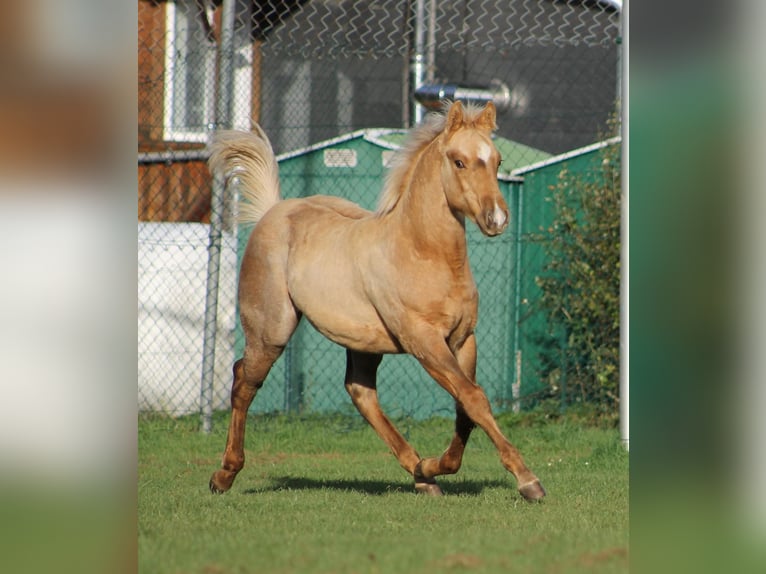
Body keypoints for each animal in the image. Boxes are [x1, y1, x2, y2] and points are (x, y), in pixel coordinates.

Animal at [207, 101, 545, 501]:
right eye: (459, 161)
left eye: (497, 159)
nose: (497, 218)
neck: (422, 253)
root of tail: (272, 212)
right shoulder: (424, 342)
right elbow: (474, 398)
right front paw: (528, 480)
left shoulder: (463, 340)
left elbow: (466, 406)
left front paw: (434, 466)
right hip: (270, 331)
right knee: (244, 381)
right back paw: (224, 474)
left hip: (363, 342)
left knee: (361, 392)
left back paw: (422, 475)